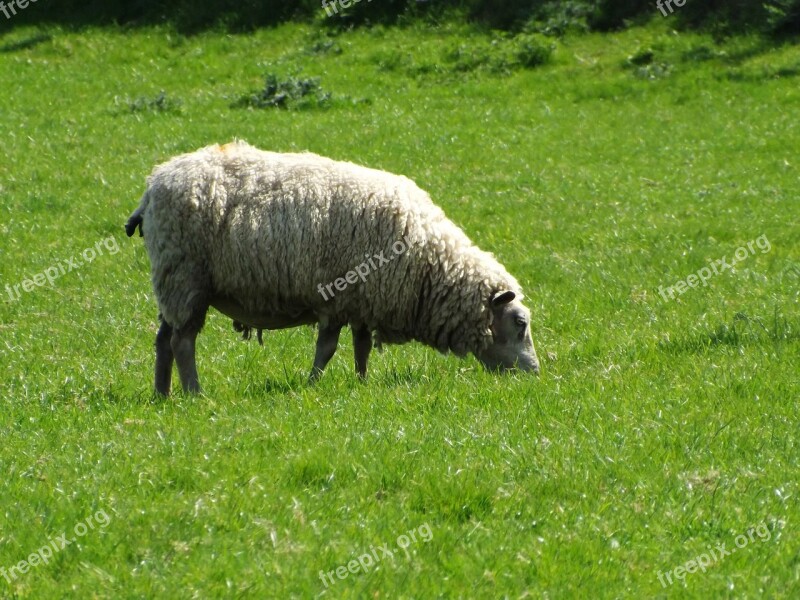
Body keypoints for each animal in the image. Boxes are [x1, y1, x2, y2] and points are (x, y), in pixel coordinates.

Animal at [126, 140, 536, 394]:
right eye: (519, 323)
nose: (534, 375)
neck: (427, 262)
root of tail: (153, 184)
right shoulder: (338, 296)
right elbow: (328, 348)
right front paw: (312, 383)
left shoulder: (363, 300)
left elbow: (361, 347)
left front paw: (362, 382)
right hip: (185, 277)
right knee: (182, 341)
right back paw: (194, 393)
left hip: (173, 283)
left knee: (163, 338)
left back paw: (162, 394)